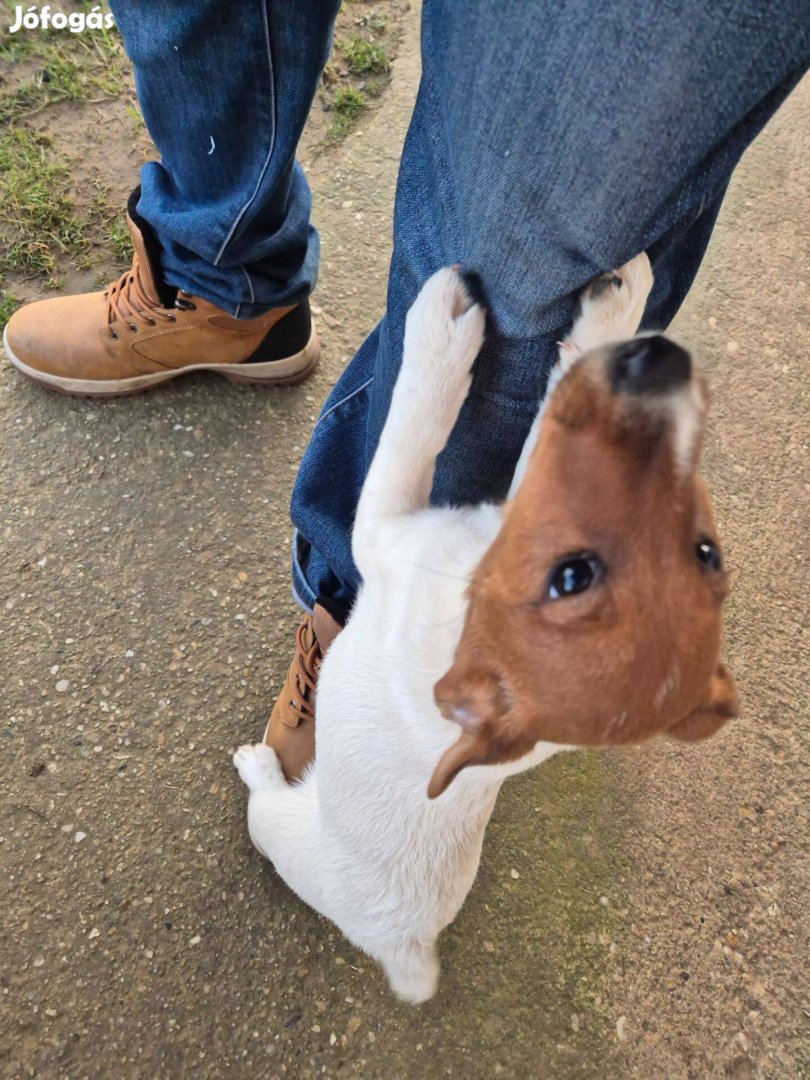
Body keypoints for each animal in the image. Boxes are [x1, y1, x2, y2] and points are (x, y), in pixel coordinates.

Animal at [233, 252, 734, 1002]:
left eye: (571, 578)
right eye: (706, 551)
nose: (662, 361)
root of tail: (406, 948)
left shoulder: (384, 526)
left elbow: (416, 418)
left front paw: (440, 331)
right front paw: (614, 311)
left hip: (280, 826)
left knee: (263, 805)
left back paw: (259, 765)